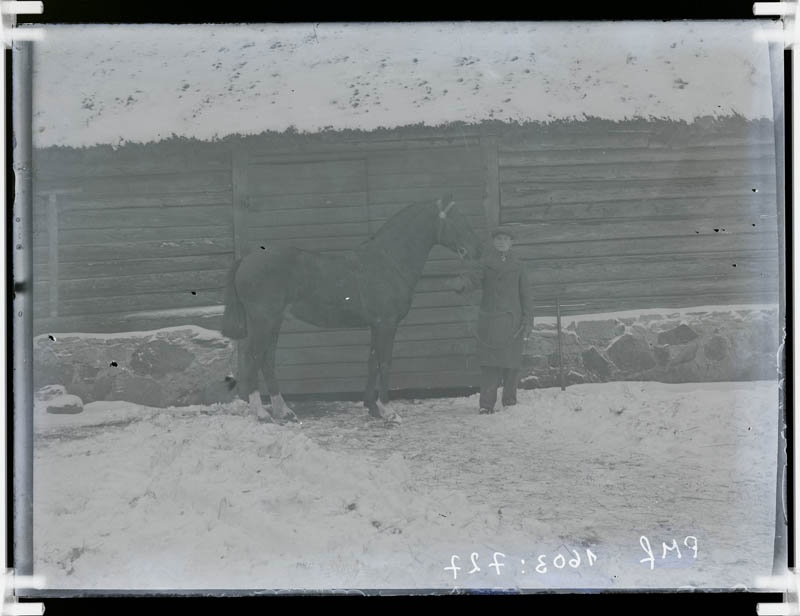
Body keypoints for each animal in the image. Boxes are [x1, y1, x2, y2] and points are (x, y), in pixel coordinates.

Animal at [220, 195, 482, 426]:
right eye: (456, 219)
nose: (476, 251)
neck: (388, 261)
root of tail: (246, 260)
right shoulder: (387, 323)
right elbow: (385, 362)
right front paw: (389, 412)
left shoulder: (376, 324)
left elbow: (372, 361)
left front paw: (372, 408)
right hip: (263, 320)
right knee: (253, 358)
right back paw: (262, 414)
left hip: (275, 321)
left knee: (267, 360)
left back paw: (284, 412)